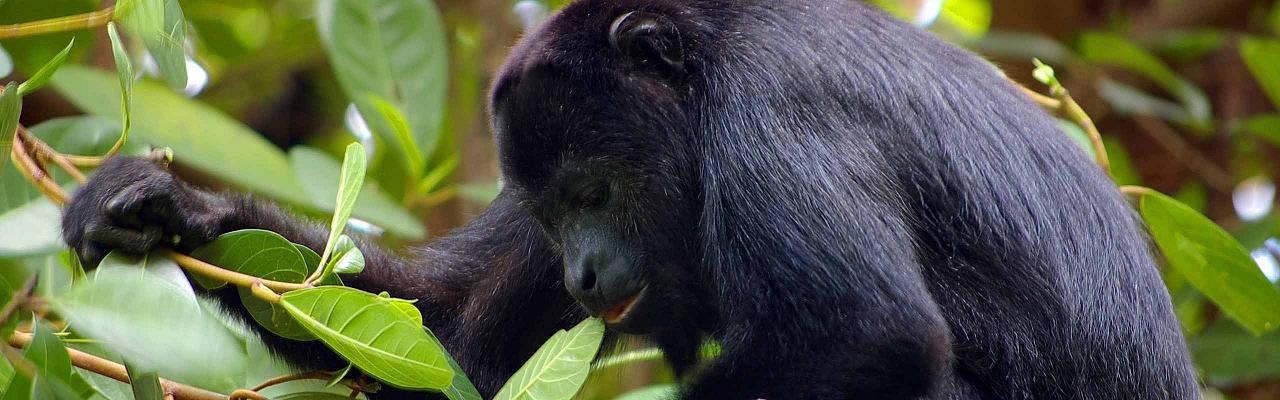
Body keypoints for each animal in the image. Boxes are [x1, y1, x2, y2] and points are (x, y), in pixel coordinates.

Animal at [60, 0, 1198, 397]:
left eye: (593, 190)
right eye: (550, 212)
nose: (579, 270)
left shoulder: (774, 113)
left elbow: (869, 330)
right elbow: (449, 340)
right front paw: (170, 209)